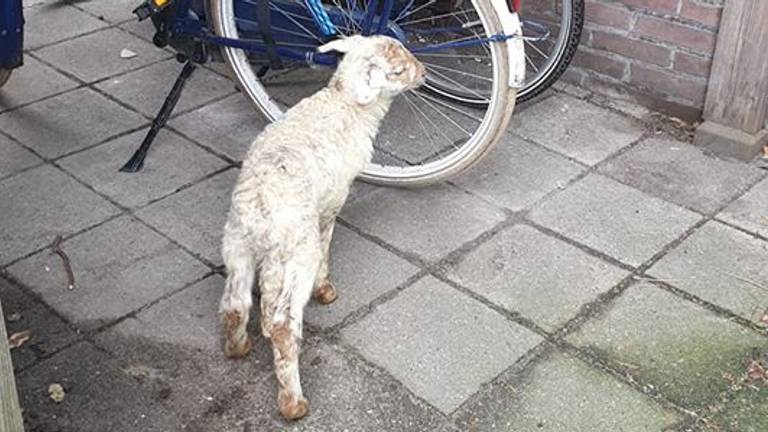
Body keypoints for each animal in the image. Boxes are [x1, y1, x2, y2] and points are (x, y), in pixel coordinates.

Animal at [218, 35, 426, 420]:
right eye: (397, 70)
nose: (423, 73)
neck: (345, 101)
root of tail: (261, 215)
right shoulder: (331, 202)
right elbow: (329, 241)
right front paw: (326, 289)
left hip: (237, 244)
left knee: (235, 304)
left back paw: (238, 348)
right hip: (297, 251)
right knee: (282, 325)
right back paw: (293, 404)